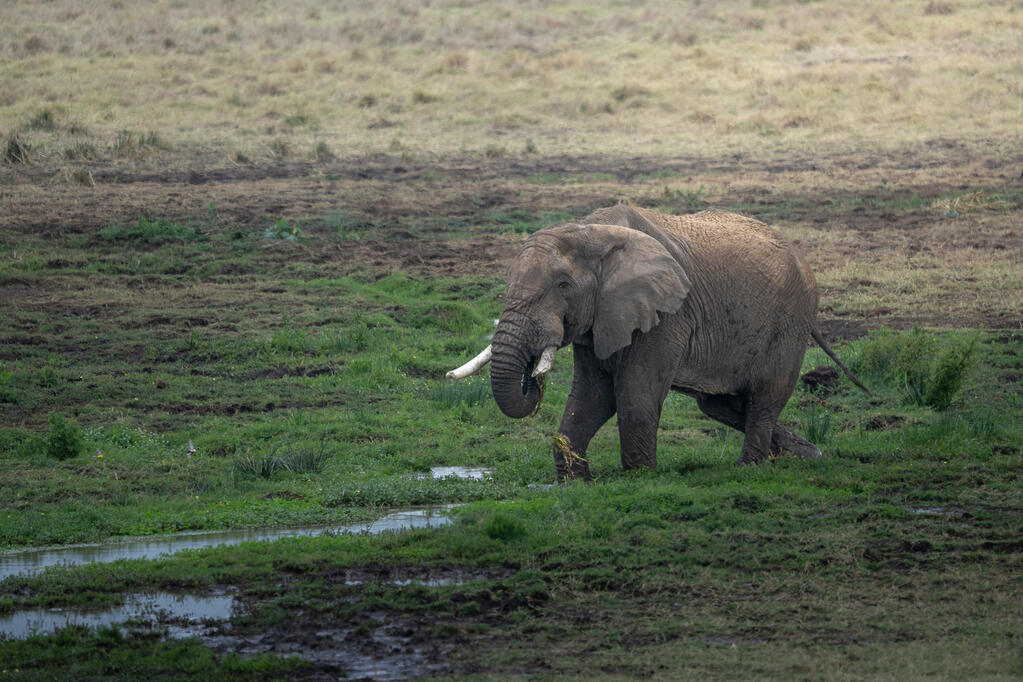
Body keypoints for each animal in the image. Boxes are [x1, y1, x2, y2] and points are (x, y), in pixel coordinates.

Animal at [447, 204, 865, 482]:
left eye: (563, 285)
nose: (532, 373)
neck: (590, 230)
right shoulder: (603, 316)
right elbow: (590, 397)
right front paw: (574, 482)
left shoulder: (667, 314)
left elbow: (632, 397)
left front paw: (639, 478)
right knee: (722, 405)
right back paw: (807, 454)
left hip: (790, 323)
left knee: (765, 397)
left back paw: (750, 467)